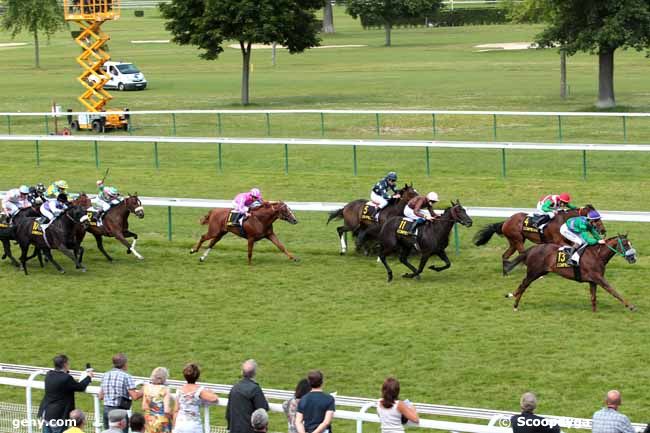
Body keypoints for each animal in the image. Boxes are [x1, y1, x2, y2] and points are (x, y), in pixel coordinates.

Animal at [470, 203, 604, 272]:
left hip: (514, 241)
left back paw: (506, 270)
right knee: (522, 254)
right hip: (518, 240)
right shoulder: (558, 240)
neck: (563, 220)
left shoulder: (567, 239)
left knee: (505, 255)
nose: (603, 230)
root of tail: (506, 222)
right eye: (596, 219)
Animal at [502, 235, 632, 312]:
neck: (597, 255)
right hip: (534, 272)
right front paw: (630, 306)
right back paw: (515, 305)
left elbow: (593, 296)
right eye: (626, 244)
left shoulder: (593, 280)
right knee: (523, 285)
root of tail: (532, 249)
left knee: (523, 285)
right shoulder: (598, 278)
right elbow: (613, 290)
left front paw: (594, 312)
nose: (633, 258)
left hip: (540, 272)